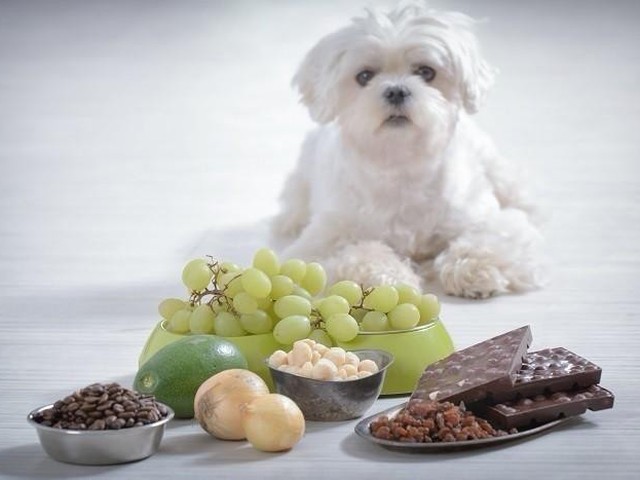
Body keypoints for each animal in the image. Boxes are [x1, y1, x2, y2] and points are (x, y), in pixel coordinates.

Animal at [268, 1, 544, 298]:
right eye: (364, 76)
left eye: (426, 72)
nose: (396, 91)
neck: (401, 163)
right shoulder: (320, 243)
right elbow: (359, 254)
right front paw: (387, 279)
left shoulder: (486, 218)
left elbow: (488, 239)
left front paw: (475, 268)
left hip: (498, 171)